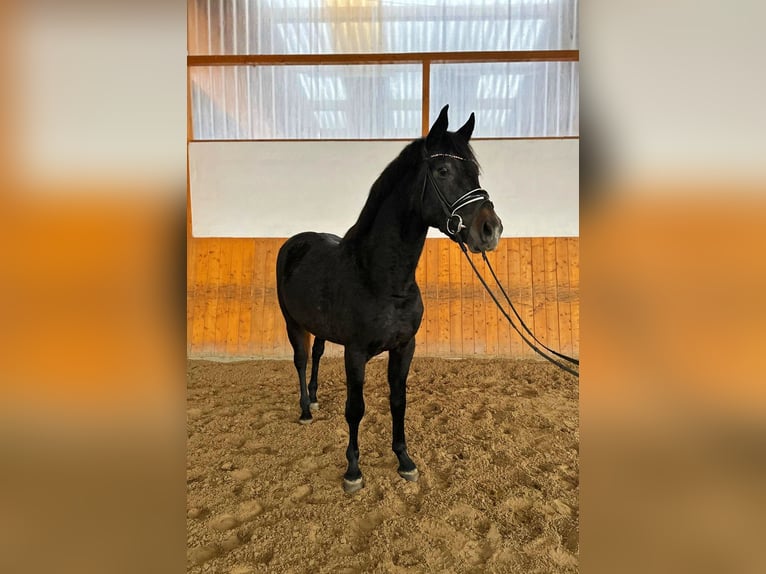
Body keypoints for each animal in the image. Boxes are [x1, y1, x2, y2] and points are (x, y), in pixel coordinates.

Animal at [276, 107, 504, 496]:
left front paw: (404, 460)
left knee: (316, 355)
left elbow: (398, 401)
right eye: (443, 171)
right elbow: (355, 408)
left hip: (317, 327)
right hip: (293, 323)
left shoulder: (404, 347)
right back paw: (306, 409)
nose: (491, 230)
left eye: (475, 172)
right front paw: (353, 471)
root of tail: (296, 242)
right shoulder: (355, 353)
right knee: (301, 360)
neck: (380, 278)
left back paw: (316, 398)